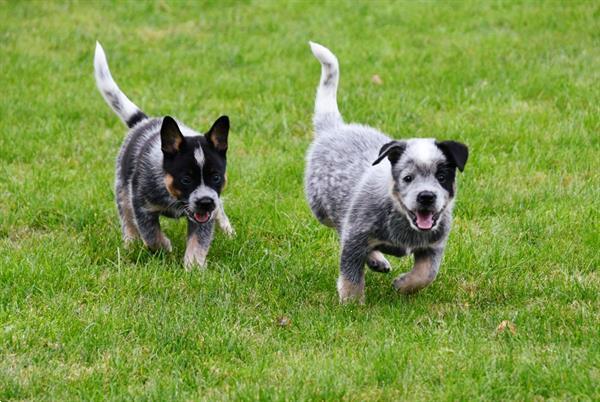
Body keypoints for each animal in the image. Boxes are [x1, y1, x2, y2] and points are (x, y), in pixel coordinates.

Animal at [304, 42, 468, 304]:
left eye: (441, 177)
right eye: (407, 178)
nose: (426, 196)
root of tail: (336, 127)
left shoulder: (434, 244)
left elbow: (427, 273)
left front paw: (404, 285)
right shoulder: (356, 235)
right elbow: (350, 273)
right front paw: (352, 303)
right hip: (322, 210)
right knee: (340, 229)